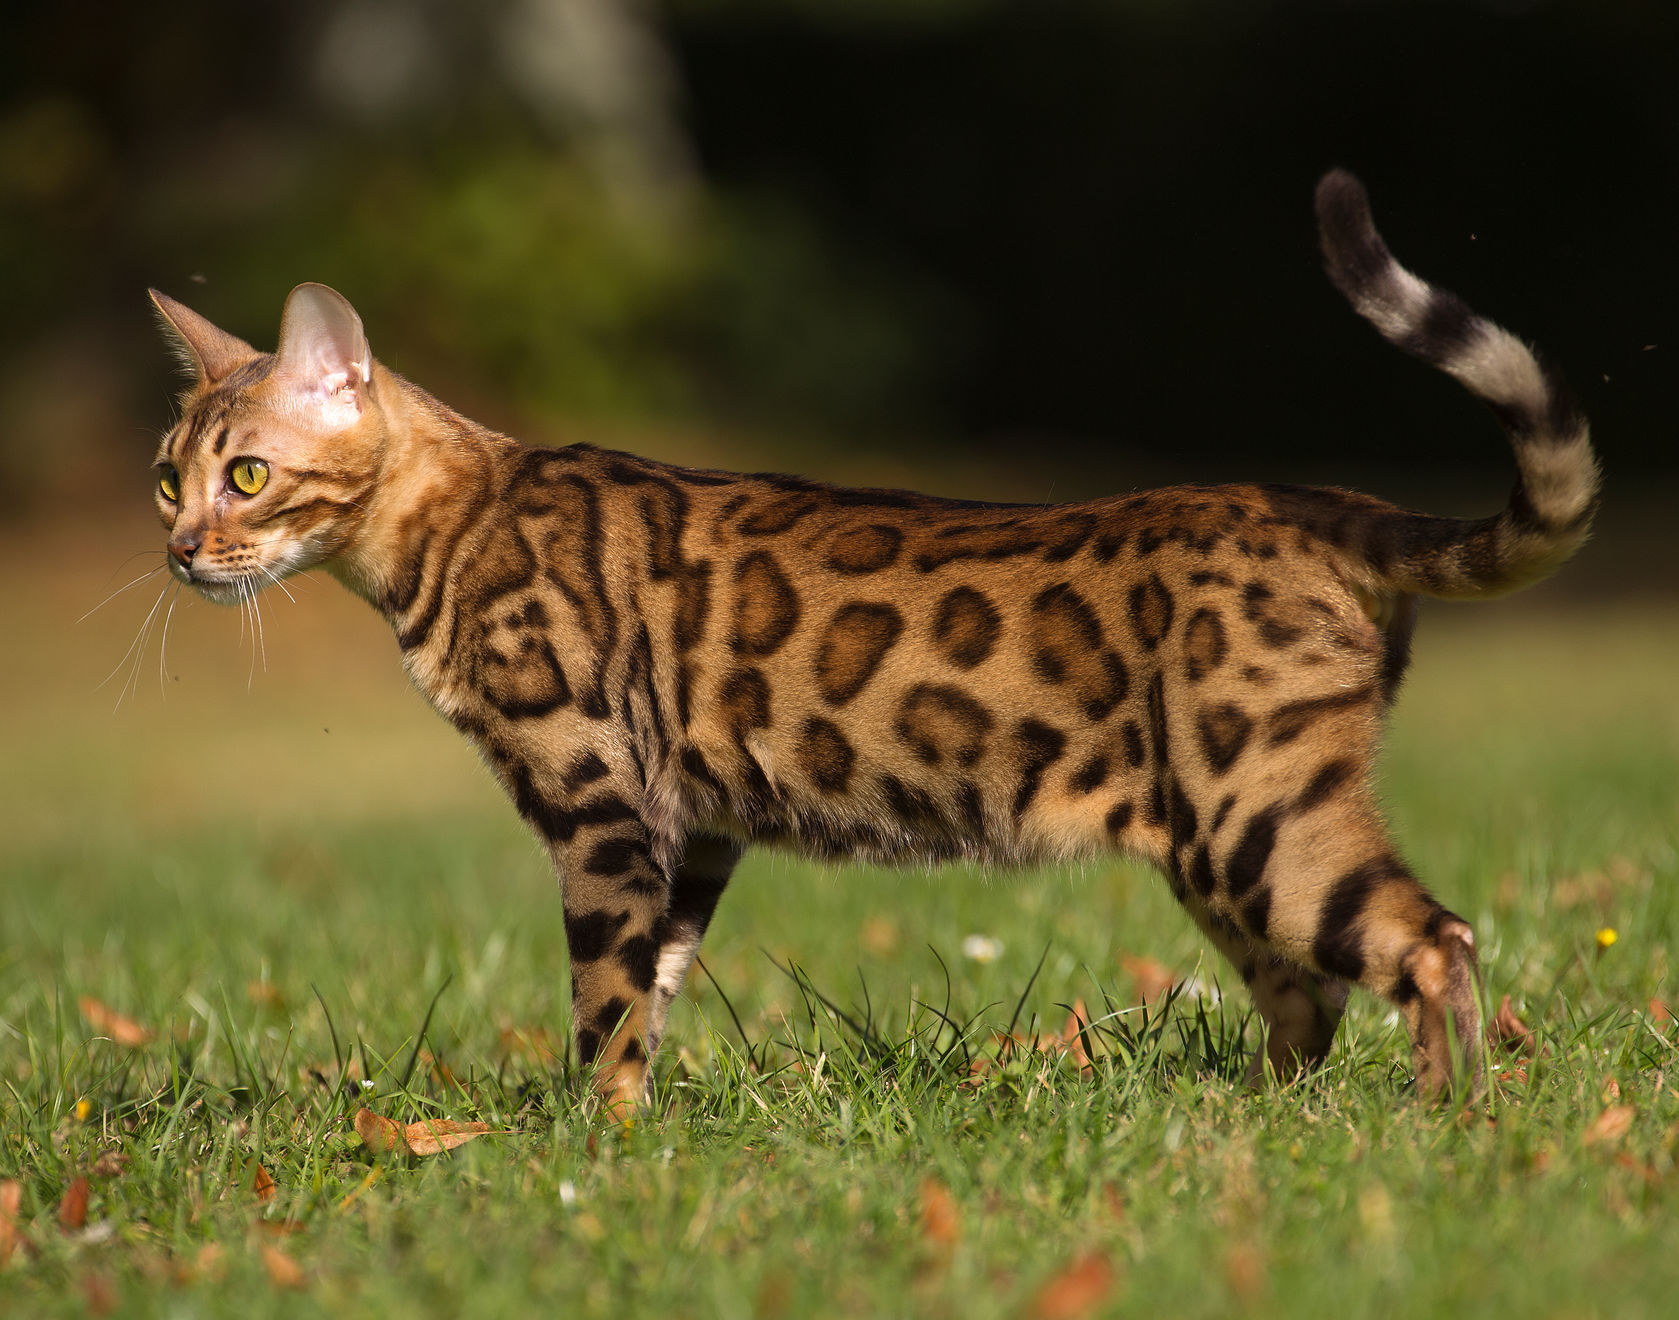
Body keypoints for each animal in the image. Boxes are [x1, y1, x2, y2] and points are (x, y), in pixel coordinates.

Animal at [147, 172, 1598, 1108]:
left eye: (249, 478)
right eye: (169, 480)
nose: (177, 552)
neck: (454, 525)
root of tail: (1312, 499)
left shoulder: (599, 804)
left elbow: (605, 1001)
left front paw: (593, 1150)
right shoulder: (689, 825)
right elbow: (655, 980)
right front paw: (638, 1132)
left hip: (1254, 810)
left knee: (1430, 940)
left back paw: (1441, 1125)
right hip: (1211, 832)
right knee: (1309, 996)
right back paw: (1255, 1126)